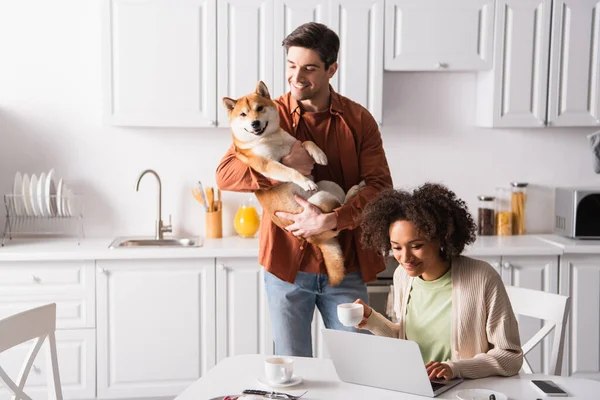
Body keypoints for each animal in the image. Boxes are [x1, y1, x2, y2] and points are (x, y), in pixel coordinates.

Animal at [223, 81, 364, 286]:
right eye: (243, 114)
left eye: (260, 108)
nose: (254, 123)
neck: (270, 138)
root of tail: (316, 239)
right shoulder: (267, 165)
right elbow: (290, 171)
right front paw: (305, 181)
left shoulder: (294, 144)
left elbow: (307, 142)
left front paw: (319, 155)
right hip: (321, 199)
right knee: (337, 208)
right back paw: (354, 191)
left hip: (329, 185)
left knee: (340, 207)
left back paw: (354, 190)